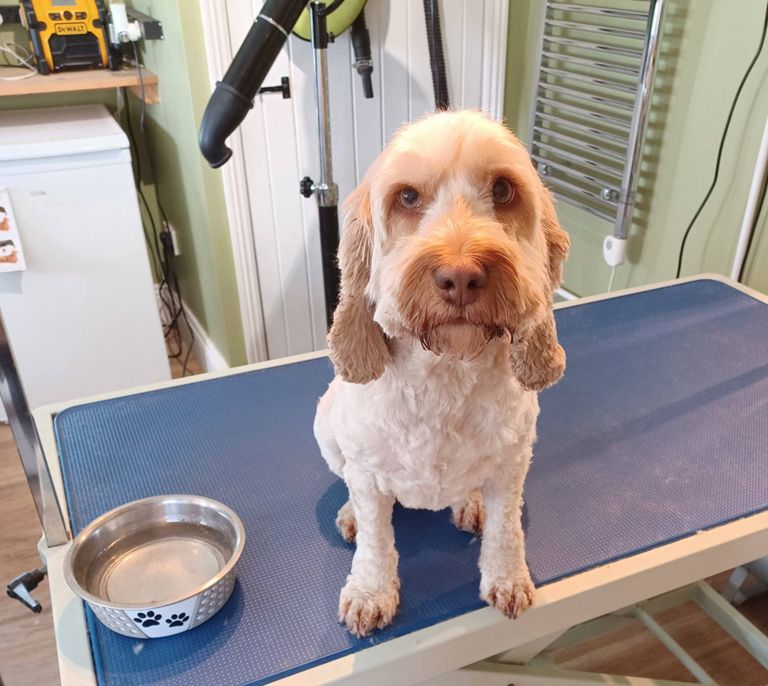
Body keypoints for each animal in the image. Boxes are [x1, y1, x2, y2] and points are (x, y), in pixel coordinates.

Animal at [313, 110, 569, 637]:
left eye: (504, 190)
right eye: (407, 197)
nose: (461, 277)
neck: (445, 375)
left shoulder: (513, 462)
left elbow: (506, 528)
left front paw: (507, 576)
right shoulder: (365, 469)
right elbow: (375, 539)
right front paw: (370, 592)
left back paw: (470, 501)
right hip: (325, 426)